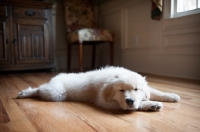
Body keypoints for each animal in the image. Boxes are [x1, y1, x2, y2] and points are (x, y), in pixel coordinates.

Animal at [16, 66, 180, 111]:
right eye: (121, 90)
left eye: (136, 89)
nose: (129, 100)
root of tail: (56, 77)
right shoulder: (105, 101)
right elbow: (137, 104)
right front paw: (151, 104)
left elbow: (155, 92)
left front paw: (171, 96)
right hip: (57, 93)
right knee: (40, 89)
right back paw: (26, 92)